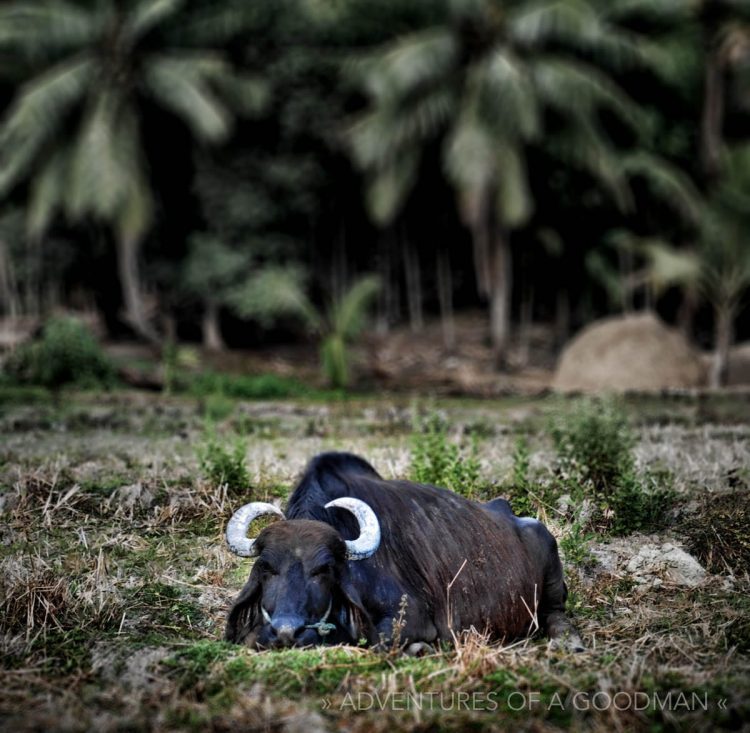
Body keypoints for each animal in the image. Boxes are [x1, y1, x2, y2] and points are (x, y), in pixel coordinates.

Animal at [226, 452, 584, 652]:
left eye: (323, 569)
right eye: (267, 567)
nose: (287, 631)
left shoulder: (409, 617)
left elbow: (377, 642)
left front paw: (420, 649)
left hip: (551, 580)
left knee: (556, 614)